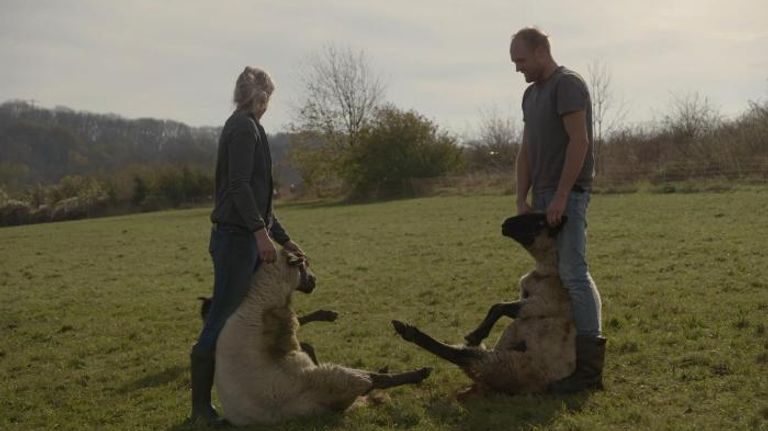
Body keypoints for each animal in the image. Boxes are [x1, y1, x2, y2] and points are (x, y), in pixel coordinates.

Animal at [213, 250, 436, 426]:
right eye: (304, 265)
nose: (315, 281)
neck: (261, 299)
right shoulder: (286, 335)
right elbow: (304, 342)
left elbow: (307, 345)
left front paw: (328, 315)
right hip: (334, 379)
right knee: (374, 381)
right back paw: (418, 373)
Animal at [390, 213, 576, 398]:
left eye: (540, 221)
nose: (505, 223)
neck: (548, 272)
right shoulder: (525, 298)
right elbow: (499, 307)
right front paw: (476, 334)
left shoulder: (541, 303)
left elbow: (498, 307)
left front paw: (475, 334)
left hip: (501, 364)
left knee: (459, 356)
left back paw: (407, 331)